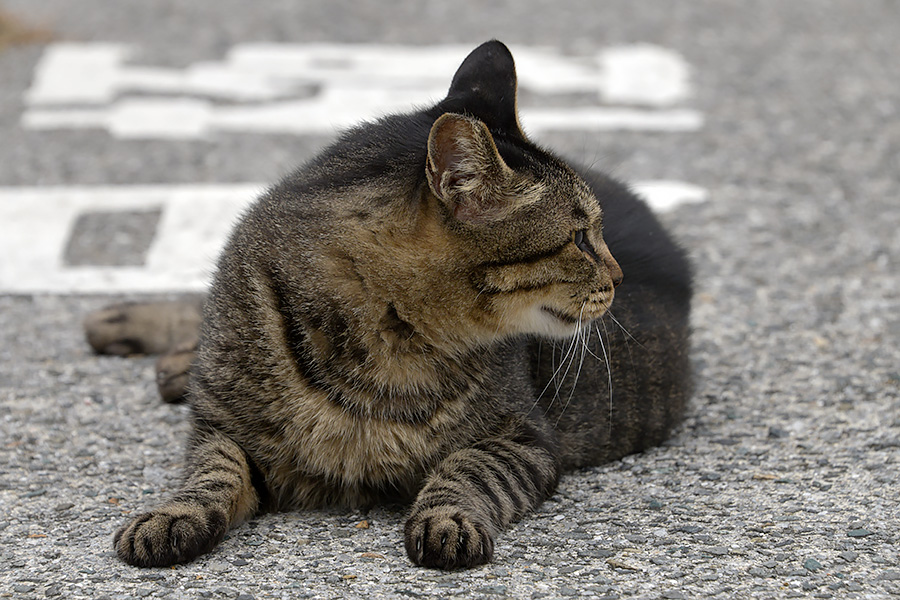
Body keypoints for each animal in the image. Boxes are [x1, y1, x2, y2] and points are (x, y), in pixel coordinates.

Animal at [84, 41, 692, 568]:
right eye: (581, 238)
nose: (618, 276)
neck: (380, 337)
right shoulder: (219, 426)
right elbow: (210, 474)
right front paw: (171, 516)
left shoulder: (526, 440)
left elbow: (468, 470)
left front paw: (448, 520)